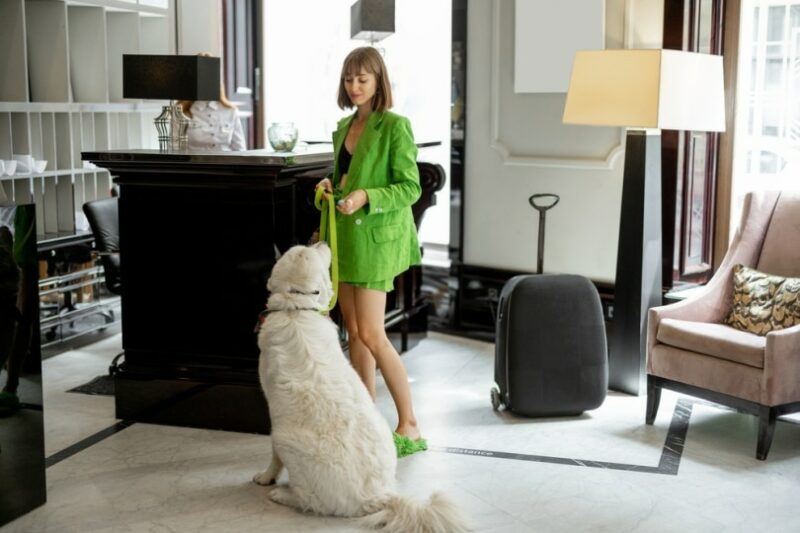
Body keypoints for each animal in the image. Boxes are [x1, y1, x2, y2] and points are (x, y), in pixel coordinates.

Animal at [255, 243, 468, 528]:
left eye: (309, 250)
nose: (322, 242)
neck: (296, 310)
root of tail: (377, 496)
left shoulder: (271, 411)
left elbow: (274, 458)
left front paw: (265, 477)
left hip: (284, 438)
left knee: (309, 500)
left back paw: (281, 494)